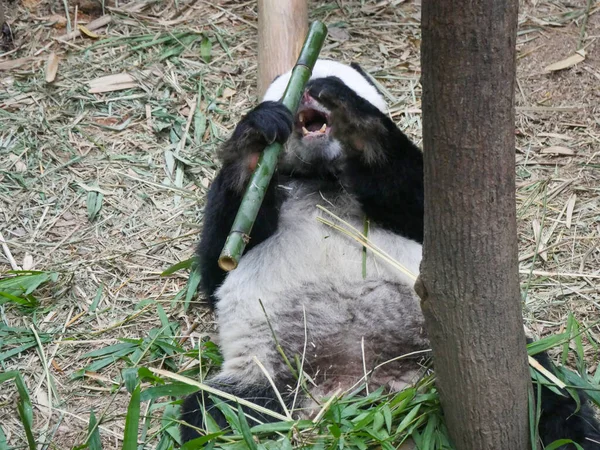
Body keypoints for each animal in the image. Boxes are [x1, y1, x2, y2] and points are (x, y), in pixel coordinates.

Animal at [182, 60, 600, 450]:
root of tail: (363, 391)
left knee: (541, 389)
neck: (320, 175)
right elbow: (219, 261)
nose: (310, 90)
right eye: (292, 85)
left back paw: (574, 435)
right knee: (214, 414)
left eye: (329, 78)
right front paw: (255, 137)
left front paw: (358, 124)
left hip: (448, 348)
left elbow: (419, 202)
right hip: (270, 372)